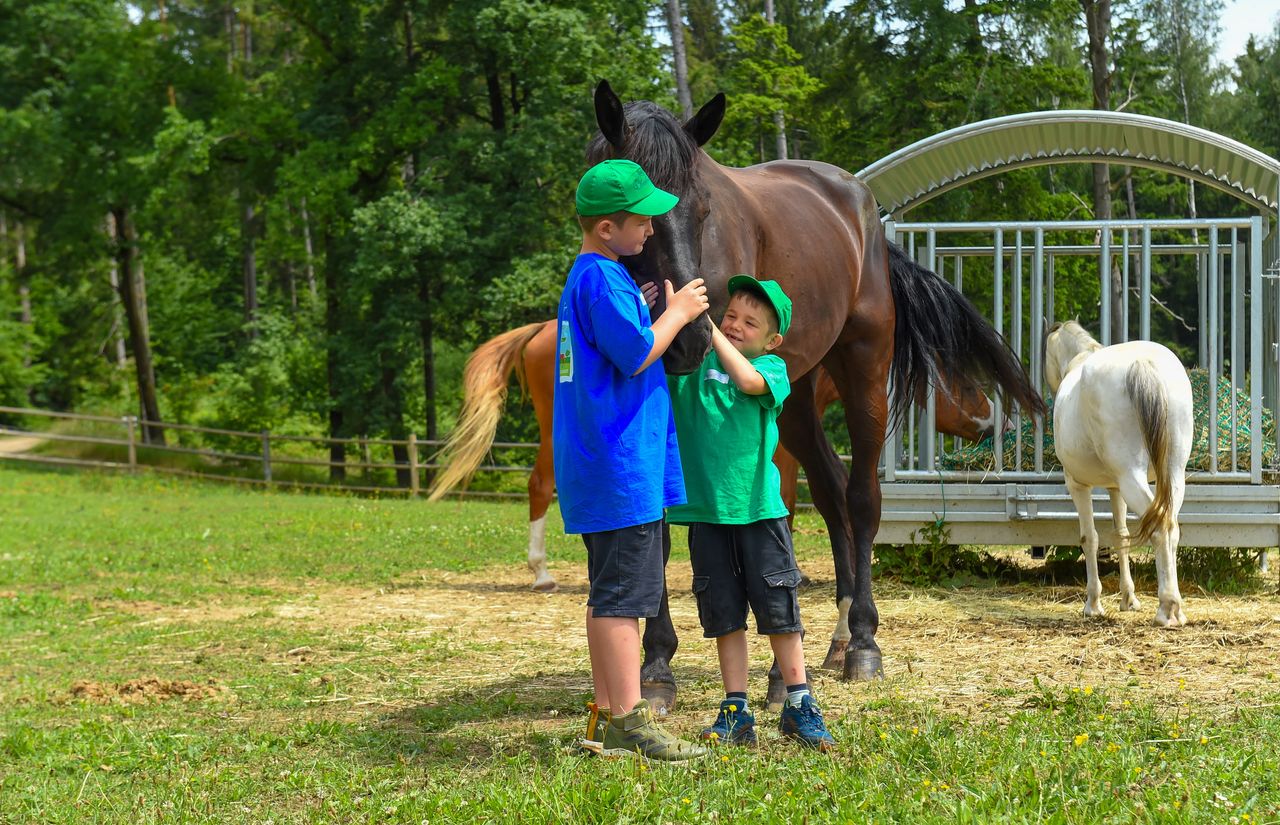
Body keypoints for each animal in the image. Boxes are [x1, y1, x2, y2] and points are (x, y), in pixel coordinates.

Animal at [429, 318, 1005, 595]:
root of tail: (541, 331)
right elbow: (786, 496)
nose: (992, 417)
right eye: (962, 382)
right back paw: (541, 572)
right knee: (542, 486)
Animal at [1044, 321, 1193, 627]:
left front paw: (1093, 604)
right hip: (1171, 475)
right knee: (1171, 527)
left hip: (1130, 478)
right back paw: (1177, 609)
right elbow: (1121, 535)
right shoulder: (1115, 488)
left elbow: (1090, 538)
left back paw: (1167, 609)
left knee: (1160, 527)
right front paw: (1128, 599)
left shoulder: (1078, 485)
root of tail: (1143, 363)